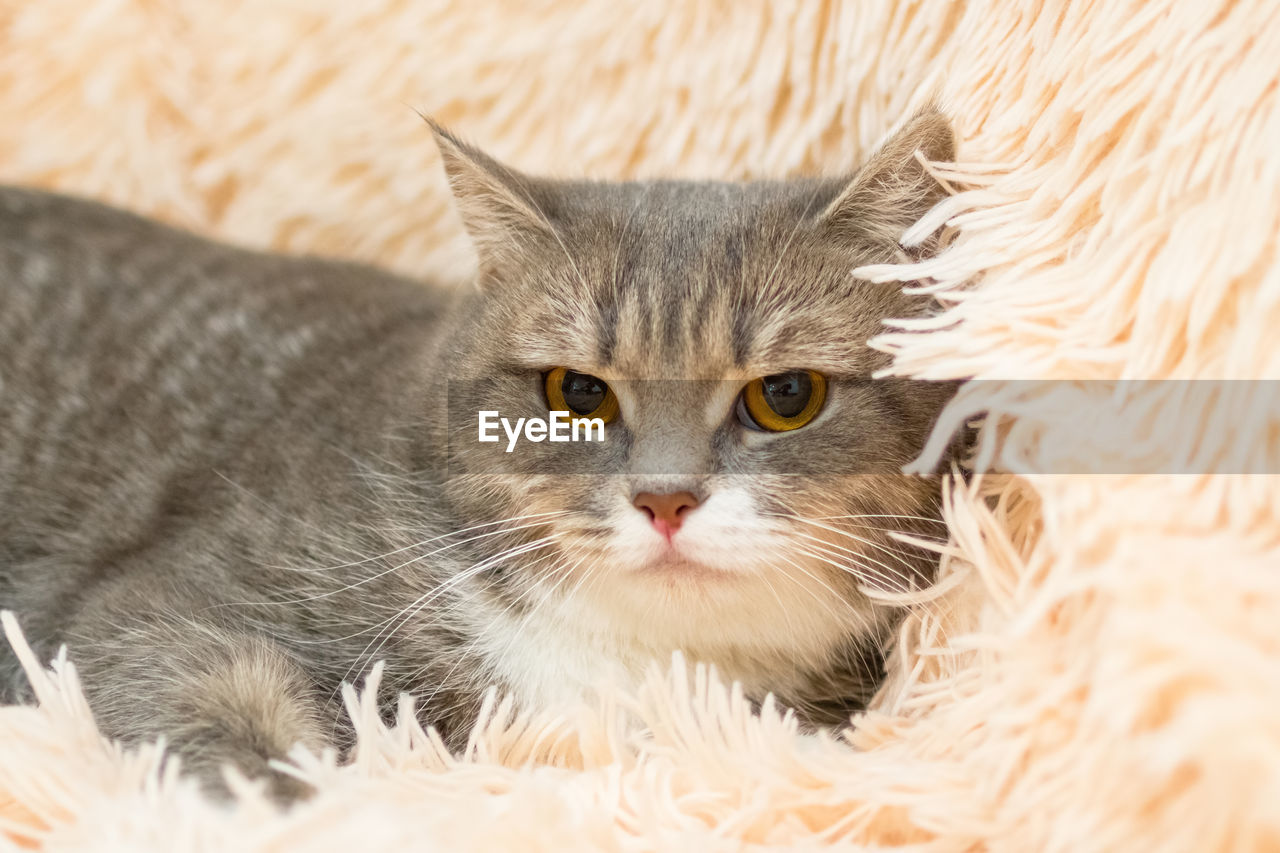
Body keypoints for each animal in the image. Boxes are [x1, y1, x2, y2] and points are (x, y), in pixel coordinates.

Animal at [0, 106, 957, 799]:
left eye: (785, 395)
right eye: (577, 393)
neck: (637, 663)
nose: (665, 497)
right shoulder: (169, 598)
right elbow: (211, 698)